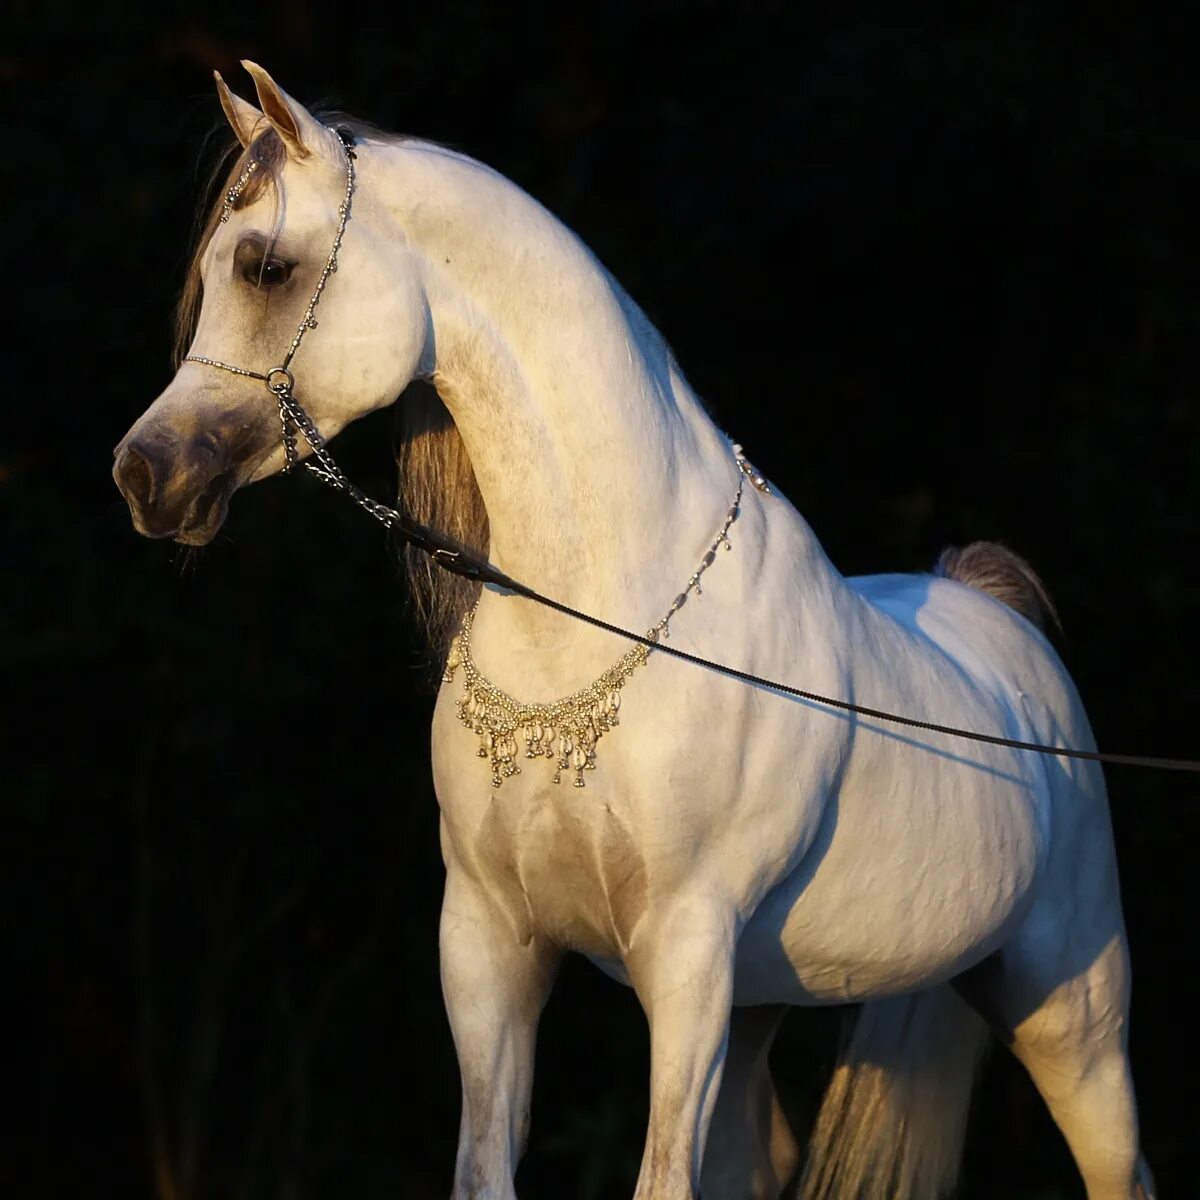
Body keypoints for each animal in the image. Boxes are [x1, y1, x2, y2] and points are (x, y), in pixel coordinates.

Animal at [112, 65, 1152, 1200]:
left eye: (265, 267)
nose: (144, 475)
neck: (586, 626)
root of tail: (999, 620)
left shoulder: (687, 956)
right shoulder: (488, 945)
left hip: (1070, 1018)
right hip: (768, 1007)